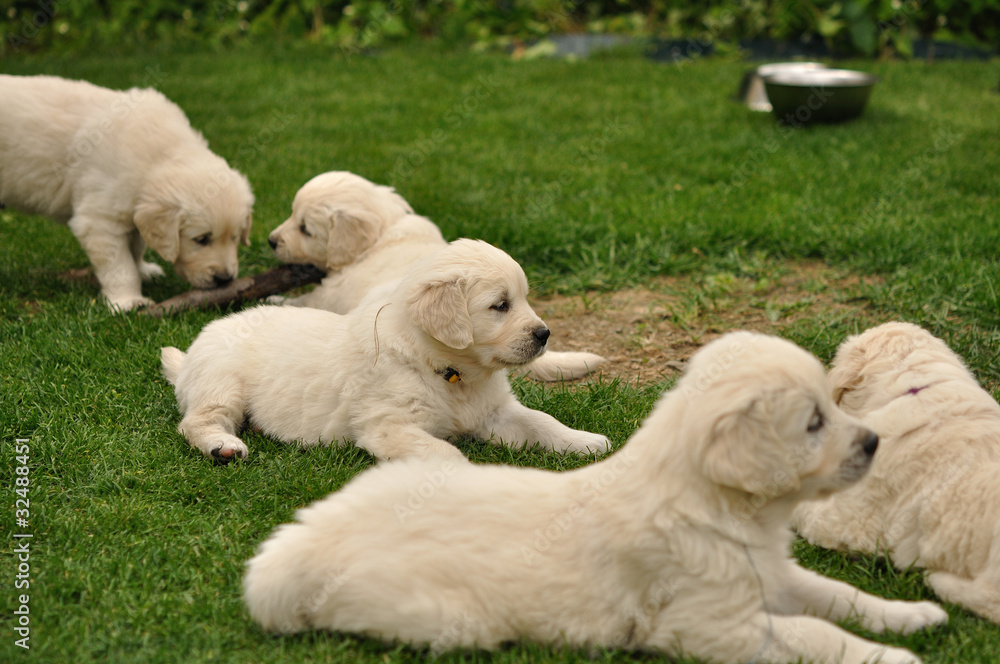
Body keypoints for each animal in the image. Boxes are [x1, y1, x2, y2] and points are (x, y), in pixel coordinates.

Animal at [0, 76, 254, 310]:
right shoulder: (100, 220)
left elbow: (136, 246)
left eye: (235, 237)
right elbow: (120, 266)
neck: (160, 154)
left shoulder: (133, 209)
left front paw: (143, 270)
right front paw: (128, 301)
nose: (224, 279)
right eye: (201, 239)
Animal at [160, 239, 608, 462]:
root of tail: (191, 353)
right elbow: (445, 453)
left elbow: (542, 421)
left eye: (524, 298)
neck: (448, 369)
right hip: (222, 383)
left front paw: (586, 442)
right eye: (500, 305)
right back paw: (224, 447)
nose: (544, 334)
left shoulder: (496, 412)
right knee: (195, 422)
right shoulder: (390, 426)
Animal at [246, 332, 948, 664]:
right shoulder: (706, 624)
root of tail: (294, 548)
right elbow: (812, 632)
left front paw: (911, 615)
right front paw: (890, 655)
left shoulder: (769, 573)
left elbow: (837, 595)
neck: (717, 508)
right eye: (812, 424)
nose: (874, 442)